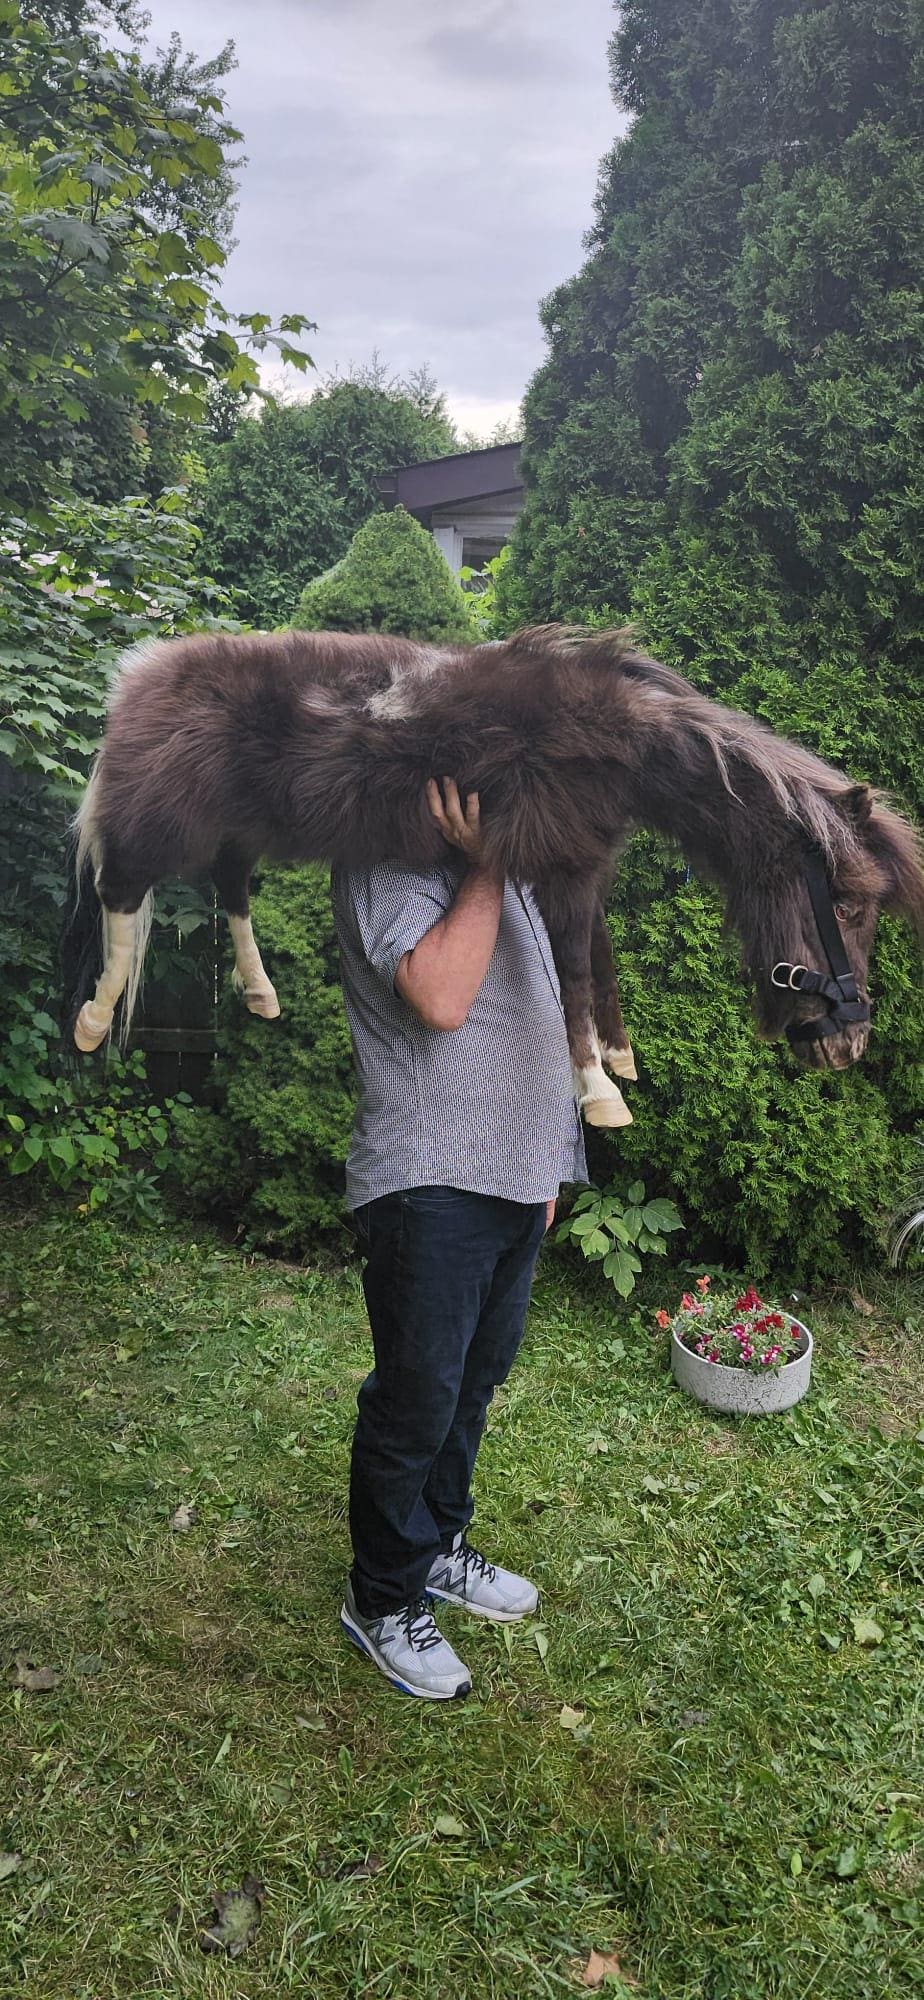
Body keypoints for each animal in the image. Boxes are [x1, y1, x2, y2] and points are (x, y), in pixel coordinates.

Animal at [62, 624, 924, 1126]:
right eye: (849, 904)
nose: (846, 1048)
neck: (624, 742)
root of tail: (137, 676)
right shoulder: (563, 865)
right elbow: (575, 970)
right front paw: (599, 1092)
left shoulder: (585, 864)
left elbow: (602, 962)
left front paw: (620, 1055)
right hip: (162, 819)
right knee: (122, 893)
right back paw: (94, 1020)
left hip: (244, 826)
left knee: (230, 884)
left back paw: (260, 992)